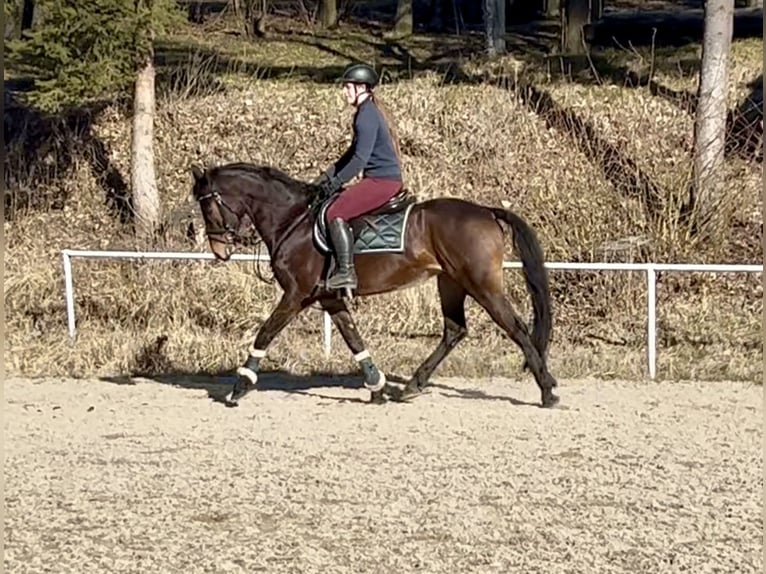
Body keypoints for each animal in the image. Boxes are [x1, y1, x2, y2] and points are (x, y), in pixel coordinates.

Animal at [190, 162, 564, 410]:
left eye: (207, 204)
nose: (219, 251)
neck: (292, 220)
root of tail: (485, 211)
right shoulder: (329, 298)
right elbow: (354, 338)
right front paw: (377, 387)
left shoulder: (296, 295)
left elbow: (265, 333)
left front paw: (239, 387)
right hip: (451, 282)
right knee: (454, 330)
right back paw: (411, 386)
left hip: (481, 284)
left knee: (516, 328)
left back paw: (547, 391)